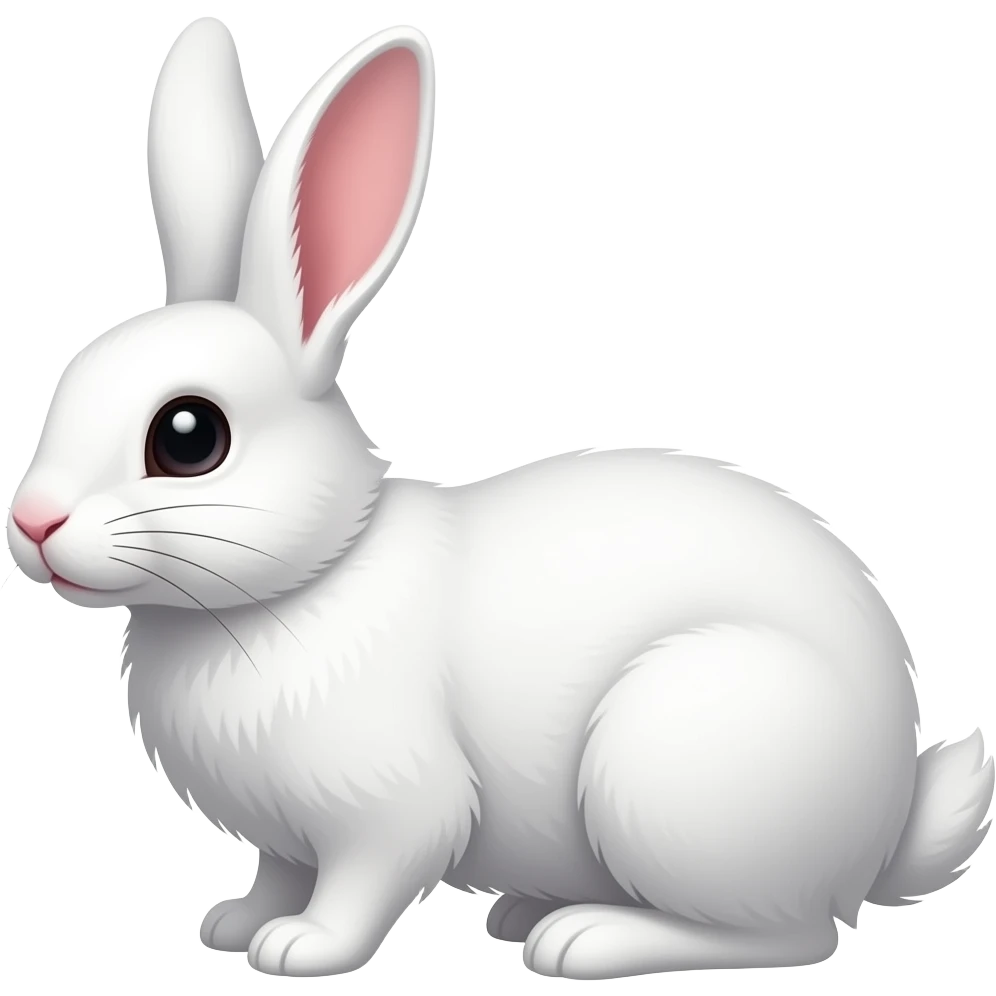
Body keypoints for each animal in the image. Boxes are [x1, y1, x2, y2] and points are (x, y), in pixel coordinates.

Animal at [6, 16, 994, 982]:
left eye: (188, 437)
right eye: (65, 386)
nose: (31, 523)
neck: (310, 576)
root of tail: (880, 827)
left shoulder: (388, 807)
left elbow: (363, 881)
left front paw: (301, 949)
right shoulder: (287, 836)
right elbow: (280, 873)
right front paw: (234, 923)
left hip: (671, 768)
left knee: (791, 936)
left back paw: (585, 939)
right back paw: (525, 912)